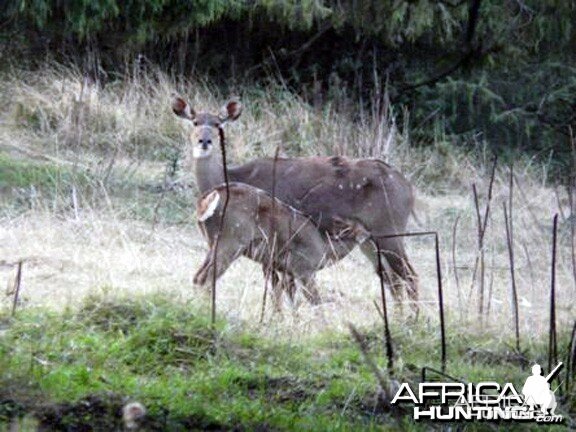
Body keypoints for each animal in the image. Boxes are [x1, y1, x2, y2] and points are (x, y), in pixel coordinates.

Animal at [171, 96, 418, 308]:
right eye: (194, 122)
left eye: (218, 124)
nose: (204, 141)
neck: (231, 176)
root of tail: (408, 188)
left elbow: (279, 290)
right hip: (369, 239)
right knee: (393, 280)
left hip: (389, 230)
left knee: (409, 276)